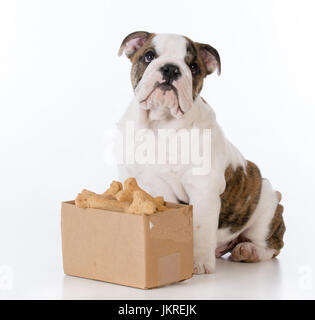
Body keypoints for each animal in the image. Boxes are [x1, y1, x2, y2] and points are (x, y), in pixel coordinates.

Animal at [116, 31, 286, 274]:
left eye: (194, 67)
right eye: (148, 56)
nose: (170, 68)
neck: (161, 123)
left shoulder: (203, 190)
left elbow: (200, 226)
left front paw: (197, 261)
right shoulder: (152, 184)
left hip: (267, 210)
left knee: (272, 246)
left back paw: (248, 251)